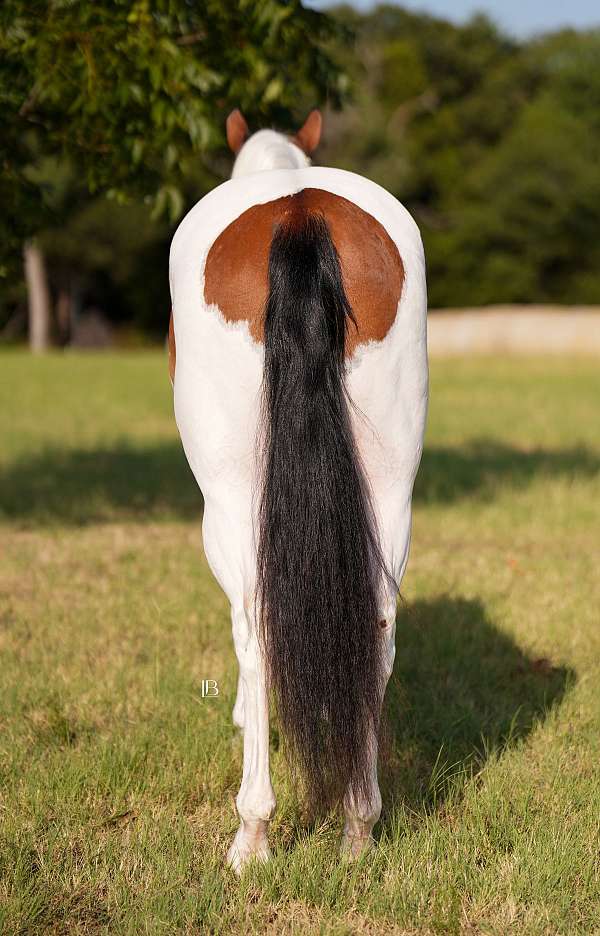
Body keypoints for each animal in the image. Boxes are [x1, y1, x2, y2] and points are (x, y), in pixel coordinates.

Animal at [168, 108, 428, 873]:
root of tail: (298, 211)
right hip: (391, 489)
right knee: (379, 624)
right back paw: (359, 823)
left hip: (228, 500)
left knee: (255, 626)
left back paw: (252, 833)